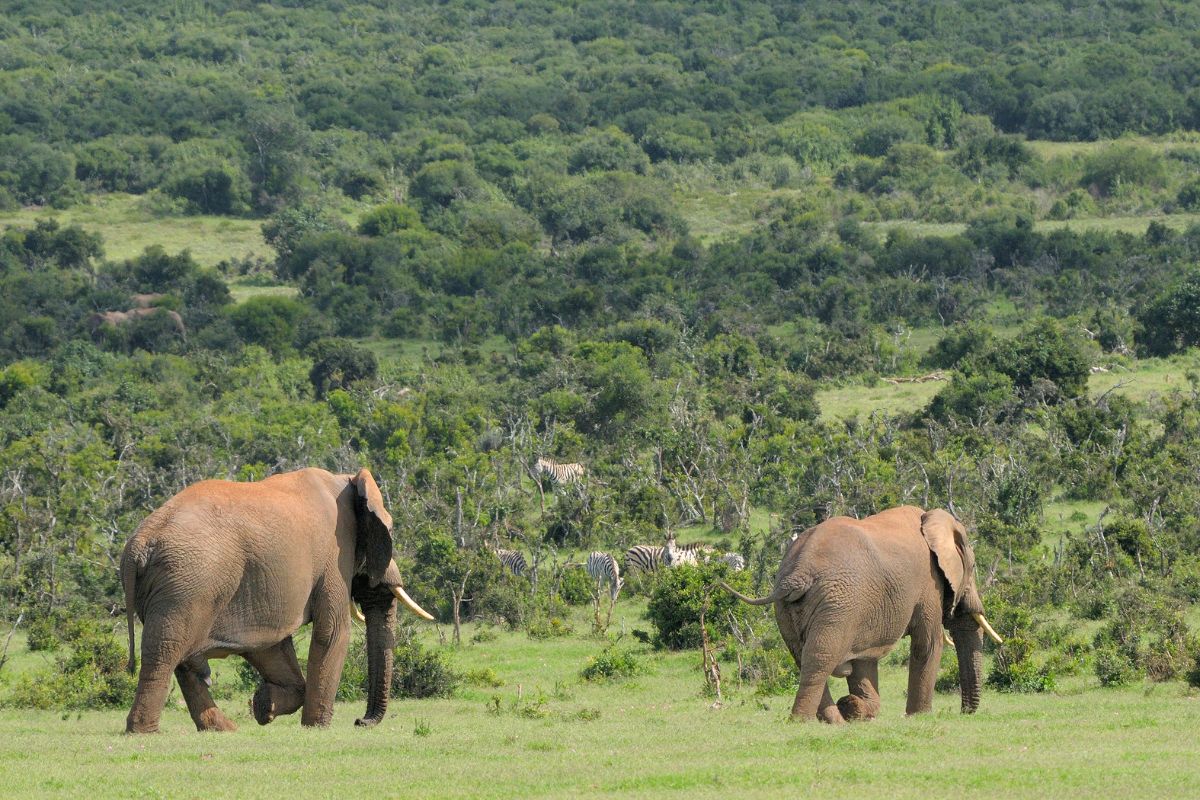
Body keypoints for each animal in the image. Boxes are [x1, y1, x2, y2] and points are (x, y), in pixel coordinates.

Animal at [120, 467, 434, 734]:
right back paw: (143, 732)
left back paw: (223, 729)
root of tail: (139, 545)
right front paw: (315, 728)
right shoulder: (334, 555)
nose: (360, 721)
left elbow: (271, 647)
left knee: (181, 659)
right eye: (388, 532)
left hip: (180, 586)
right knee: (165, 653)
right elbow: (333, 632)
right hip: (187, 583)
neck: (345, 480)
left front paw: (263, 706)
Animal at [724, 506, 1002, 723]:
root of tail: (796, 574)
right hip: (837, 603)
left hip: (793, 608)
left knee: (802, 657)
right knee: (819, 657)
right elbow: (928, 645)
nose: (964, 712)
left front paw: (857, 707)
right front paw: (919, 717)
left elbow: (864, 659)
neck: (932, 519)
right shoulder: (928, 584)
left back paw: (836, 718)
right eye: (972, 567)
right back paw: (806, 721)